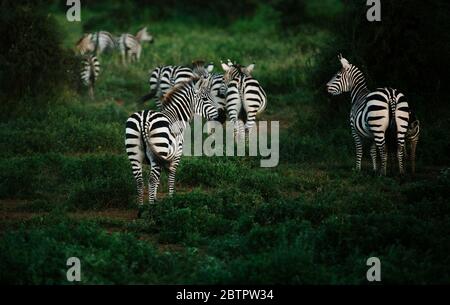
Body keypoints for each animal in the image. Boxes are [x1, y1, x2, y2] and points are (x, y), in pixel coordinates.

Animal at [125, 74, 219, 215]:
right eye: (204, 99)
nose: (221, 116)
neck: (177, 117)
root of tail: (144, 119)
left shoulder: (161, 157)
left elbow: (159, 180)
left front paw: (156, 199)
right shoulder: (176, 155)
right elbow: (171, 176)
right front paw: (171, 200)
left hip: (134, 153)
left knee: (140, 180)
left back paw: (141, 209)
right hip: (158, 148)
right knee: (151, 179)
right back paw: (152, 209)